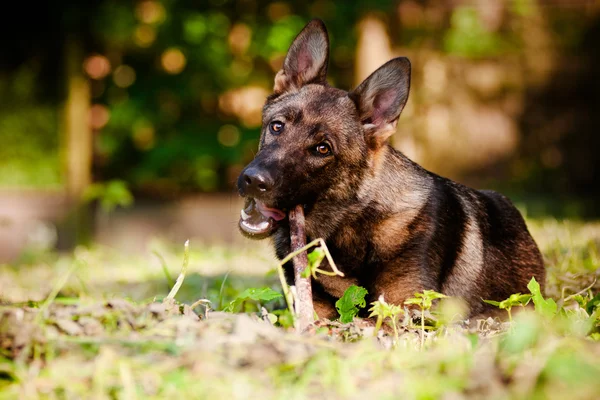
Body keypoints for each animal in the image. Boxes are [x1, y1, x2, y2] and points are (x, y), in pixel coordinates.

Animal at [234, 18, 544, 320]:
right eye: (277, 126)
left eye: (323, 149)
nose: (253, 180)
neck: (350, 224)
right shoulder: (311, 306)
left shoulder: (402, 308)